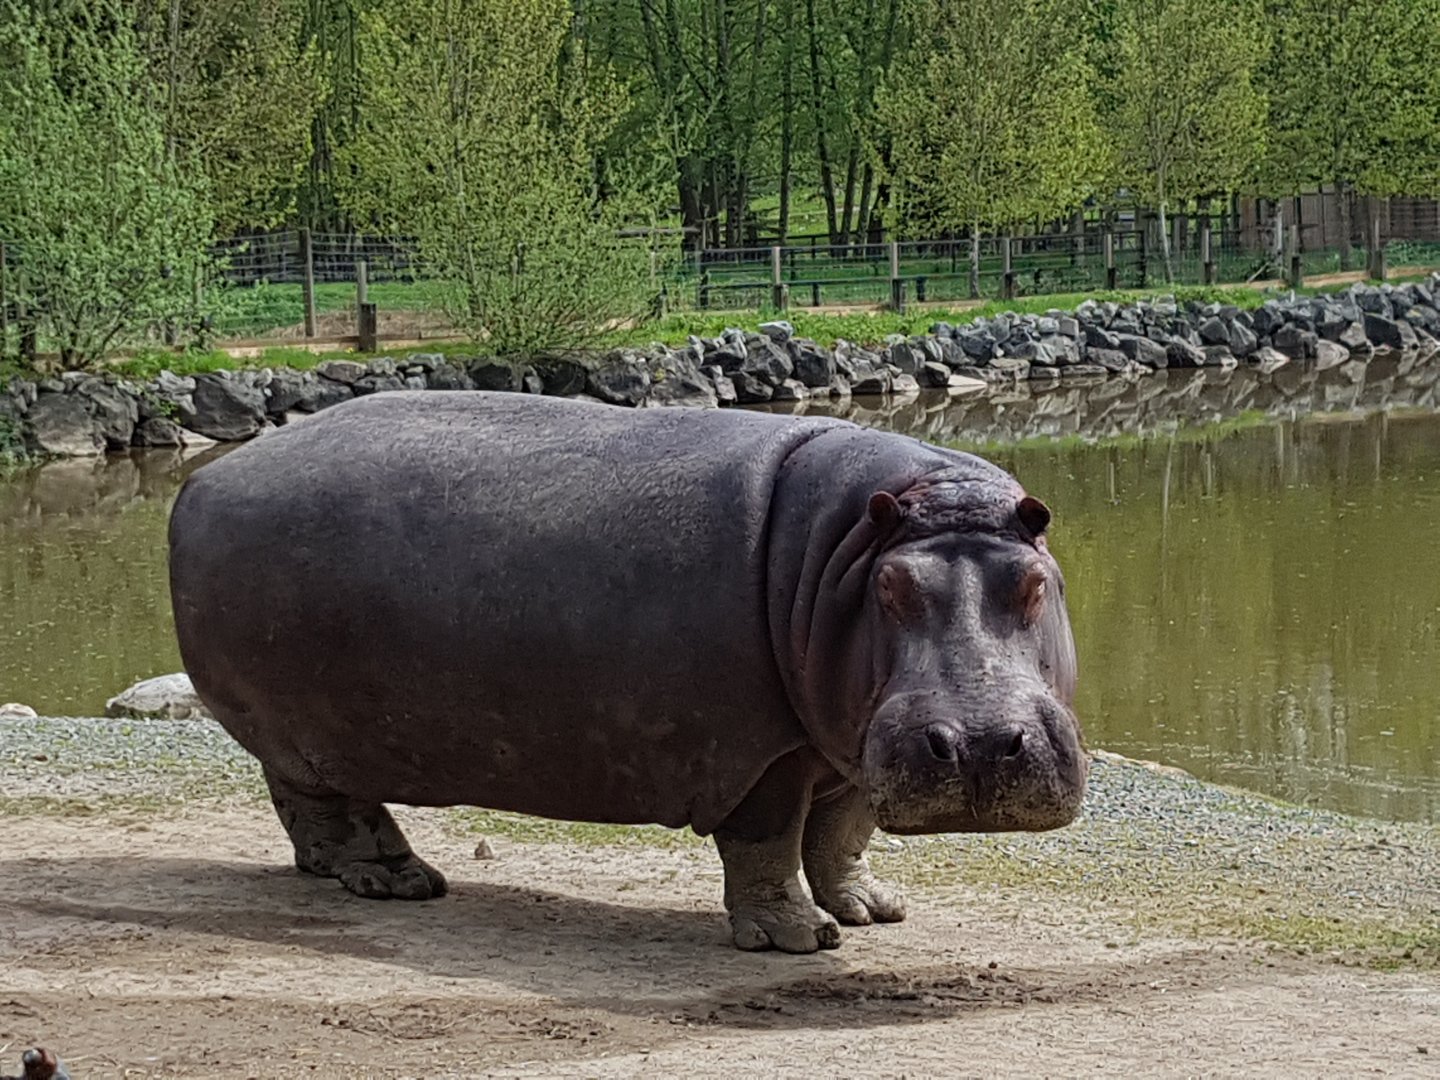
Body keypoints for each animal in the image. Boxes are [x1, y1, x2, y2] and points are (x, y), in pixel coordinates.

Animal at [169, 391, 1086, 953]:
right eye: (892, 589)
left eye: (1034, 582)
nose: (980, 745)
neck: (845, 559)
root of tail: (203, 479)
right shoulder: (762, 752)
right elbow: (769, 843)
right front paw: (796, 938)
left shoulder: (851, 742)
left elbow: (841, 835)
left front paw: (872, 912)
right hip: (306, 724)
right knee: (338, 803)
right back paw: (400, 882)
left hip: (301, 731)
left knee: (300, 802)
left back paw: (343, 874)